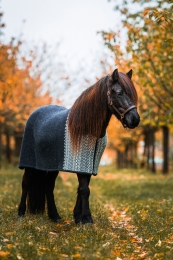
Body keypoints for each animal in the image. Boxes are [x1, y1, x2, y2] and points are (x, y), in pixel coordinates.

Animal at [17, 68, 140, 223]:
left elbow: (83, 188)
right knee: (25, 184)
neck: (87, 127)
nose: (135, 119)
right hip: (29, 164)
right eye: (119, 93)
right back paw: (21, 213)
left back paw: (55, 216)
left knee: (48, 187)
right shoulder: (81, 163)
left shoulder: (88, 165)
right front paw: (86, 219)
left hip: (52, 166)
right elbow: (84, 189)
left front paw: (78, 217)